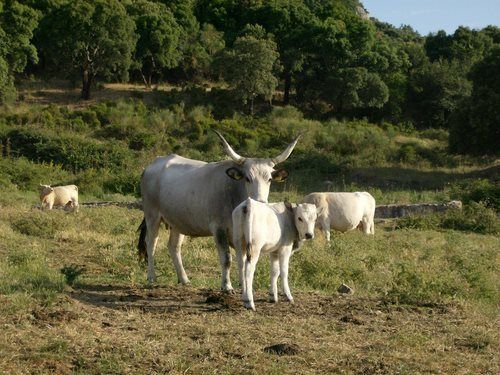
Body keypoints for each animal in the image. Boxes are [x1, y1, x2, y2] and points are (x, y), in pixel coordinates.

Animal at [138, 131, 300, 292]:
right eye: (247, 178)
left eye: (269, 179)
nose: (259, 202)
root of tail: (151, 166)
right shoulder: (219, 229)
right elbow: (226, 259)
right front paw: (227, 286)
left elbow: (242, 260)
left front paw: (243, 284)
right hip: (152, 216)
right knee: (151, 243)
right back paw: (151, 277)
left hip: (177, 222)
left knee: (174, 246)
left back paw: (184, 279)